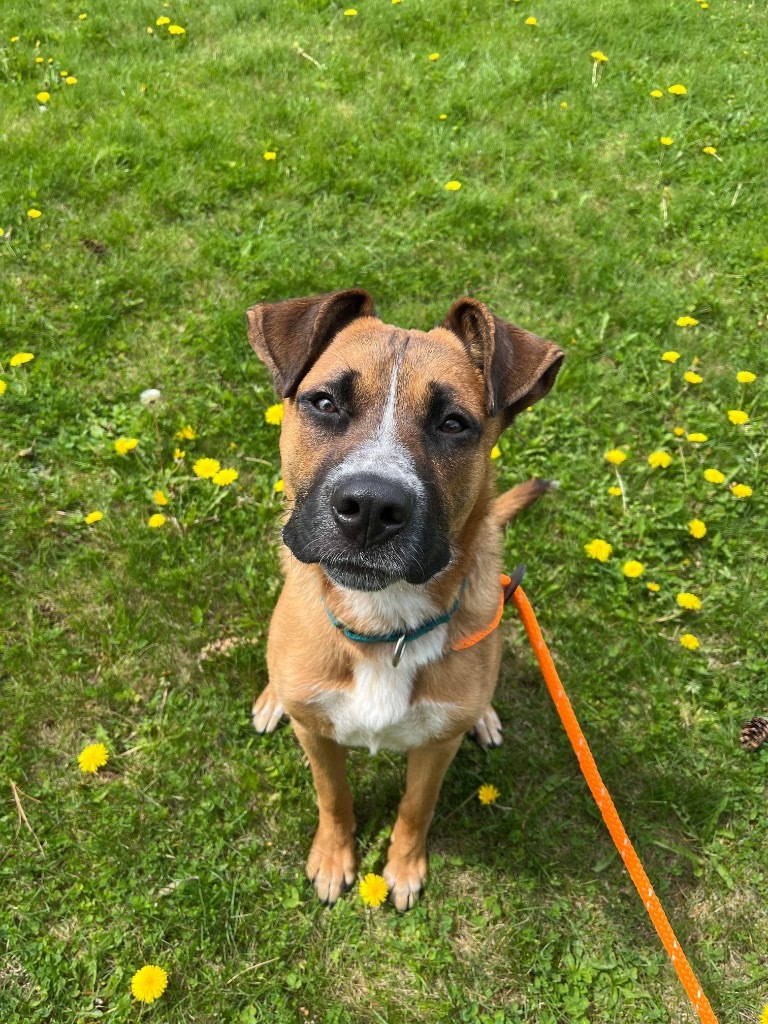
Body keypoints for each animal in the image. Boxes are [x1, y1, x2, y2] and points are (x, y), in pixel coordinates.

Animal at [247, 290, 565, 913]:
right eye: (324, 402)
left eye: (453, 424)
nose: (371, 507)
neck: (384, 623)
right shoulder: (317, 738)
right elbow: (333, 796)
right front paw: (334, 857)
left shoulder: (436, 749)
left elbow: (417, 807)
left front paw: (404, 866)